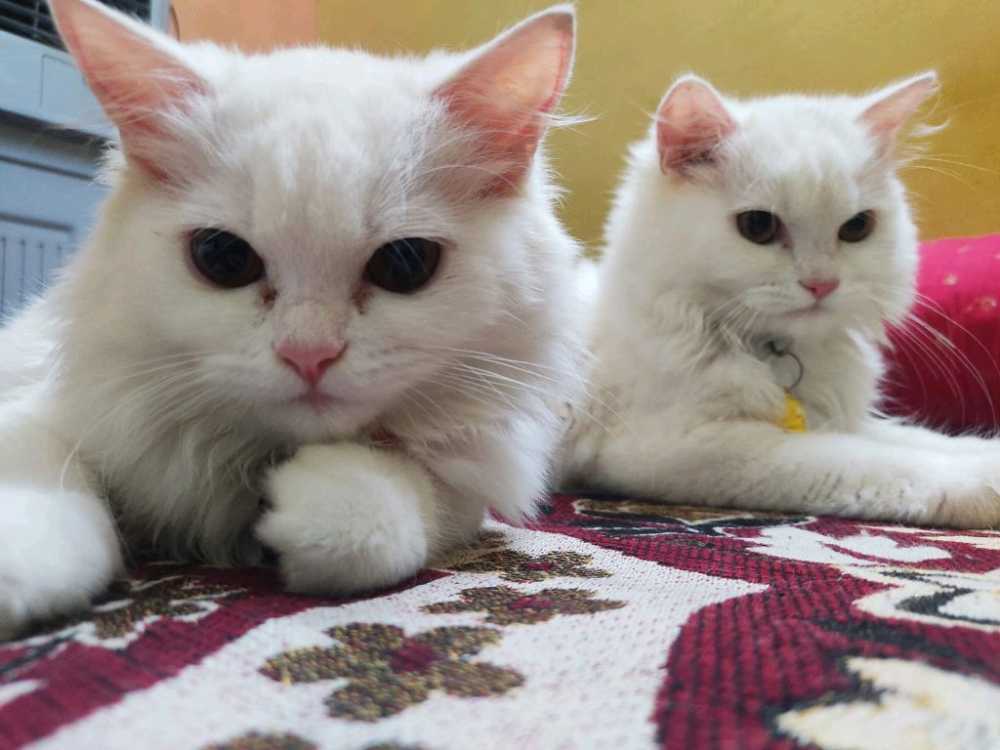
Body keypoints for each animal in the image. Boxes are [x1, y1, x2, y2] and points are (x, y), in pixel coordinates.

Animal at [0, 0, 584, 638]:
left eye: (405, 265)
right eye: (222, 258)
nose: (309, 353)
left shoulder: (469, 485)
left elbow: (401, 505)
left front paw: (328, 502)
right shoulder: (49, 403)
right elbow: (42, 477)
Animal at [562, 72, 1000, 529]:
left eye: (857, 227)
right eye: (757, 226)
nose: (822, 284)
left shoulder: (837, 415)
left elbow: (918, 437)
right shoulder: (680, 445)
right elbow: (871, 460)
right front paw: (982, 483)